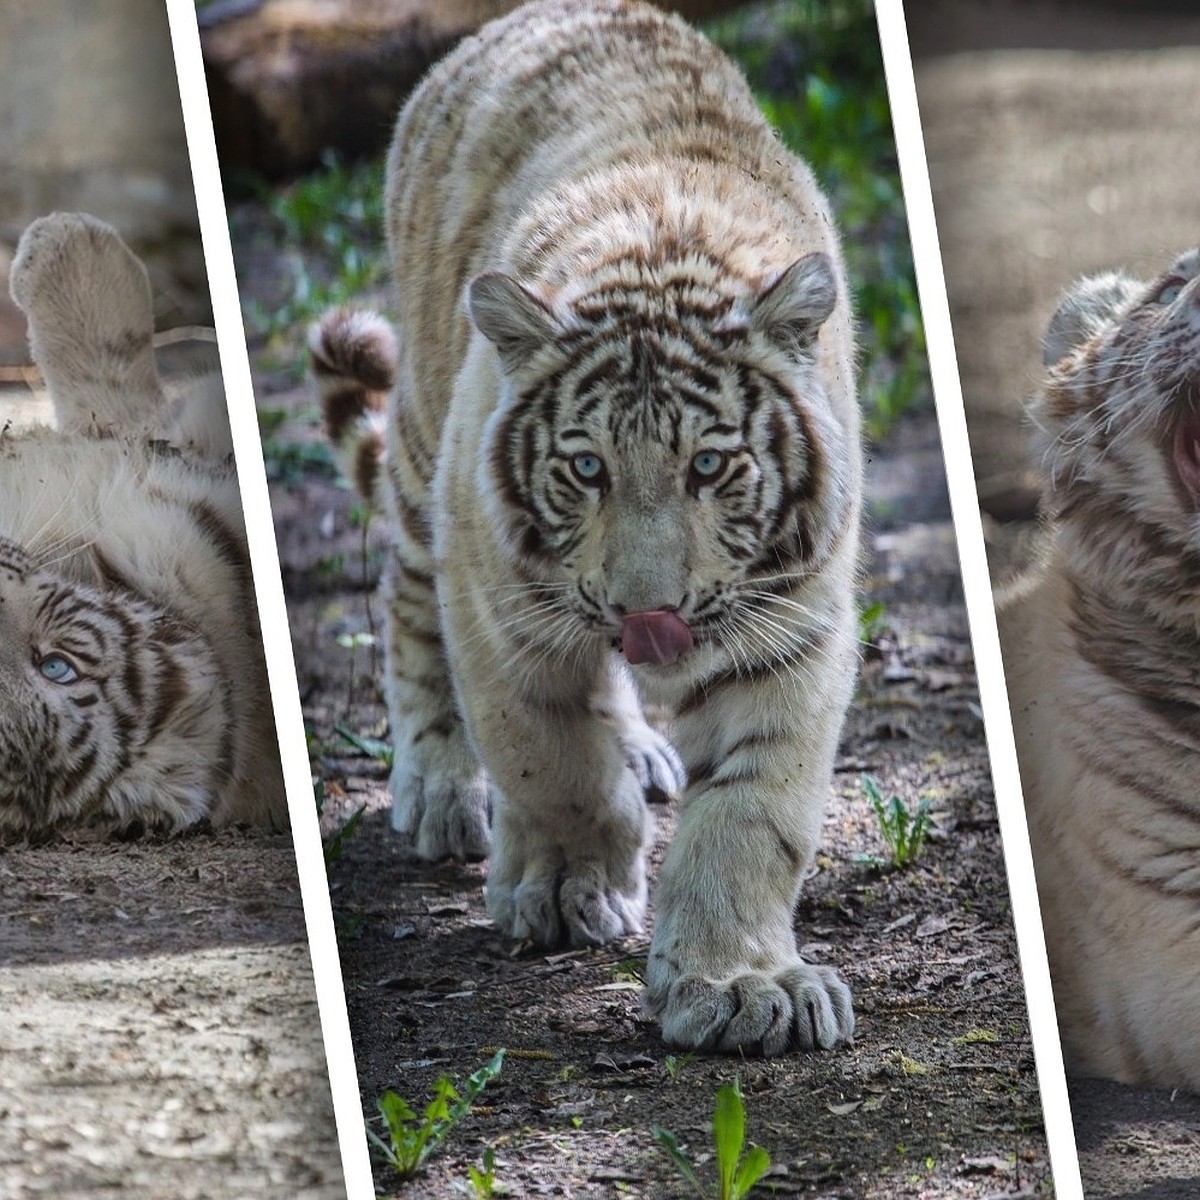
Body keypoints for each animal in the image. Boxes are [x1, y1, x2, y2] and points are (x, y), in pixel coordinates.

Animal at [314, 0, 868, 1051]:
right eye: (585, 468)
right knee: (406, 599)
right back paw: (439, 788)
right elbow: (548, 757)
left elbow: (754, 813)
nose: (647, 611)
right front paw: (568, 889)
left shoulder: (794, 625)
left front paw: (739, 985)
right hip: (424, 453)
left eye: (708, 465)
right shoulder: (498, 602)